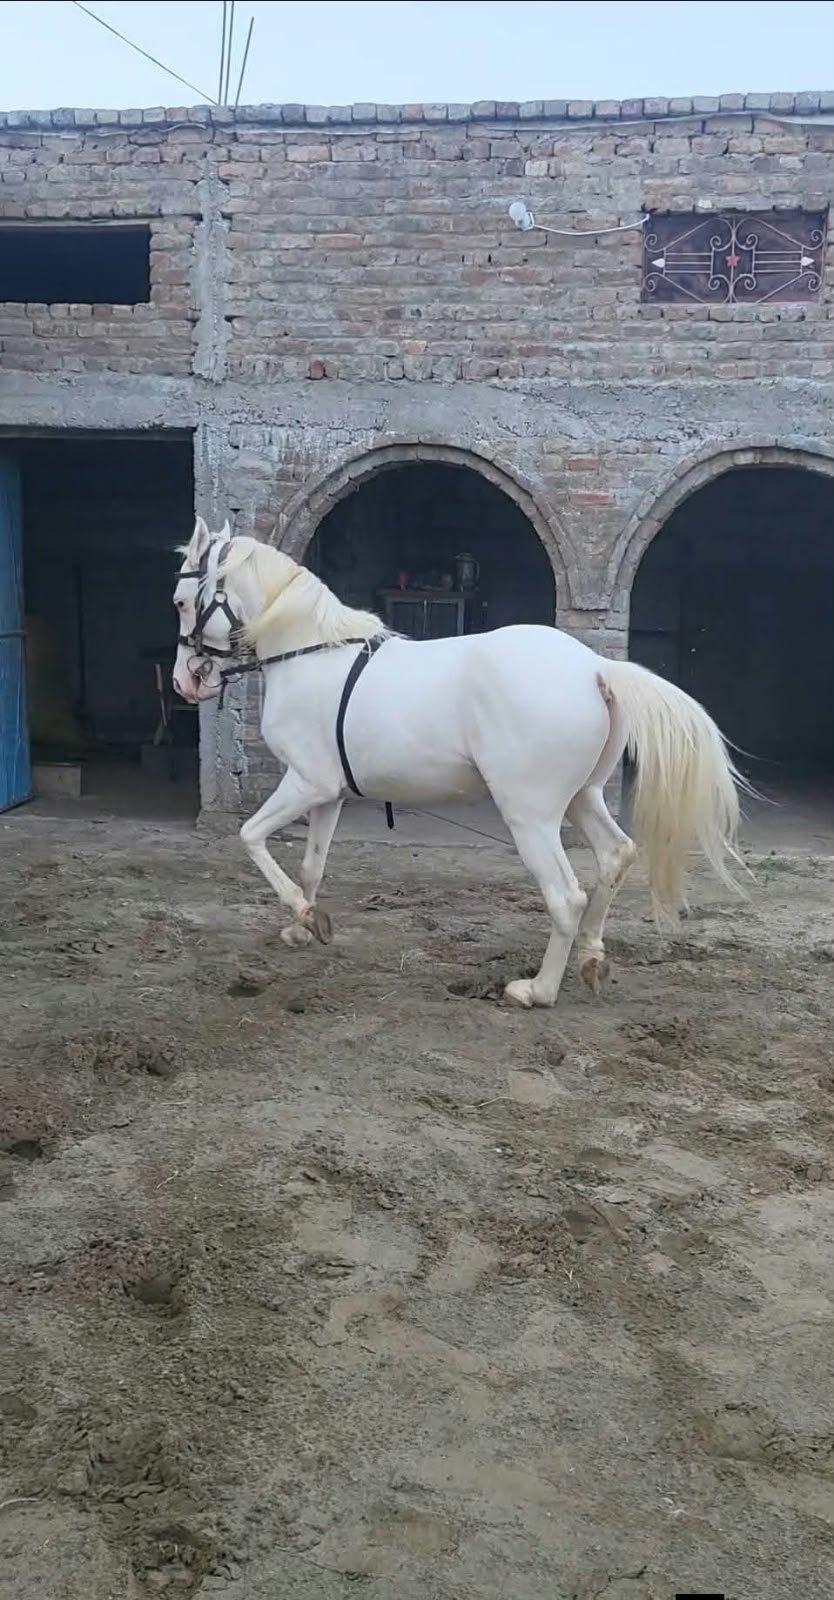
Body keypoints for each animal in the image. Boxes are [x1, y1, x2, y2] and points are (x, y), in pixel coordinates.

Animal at [173, 517, 744, 1009]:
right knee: (615, 856)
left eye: (181, 601)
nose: (186, 682)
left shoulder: (305, 783)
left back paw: (536, 991)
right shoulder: (328, 793)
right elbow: (312, 864)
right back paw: (591, 960)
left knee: (566, 896)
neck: (311, 652)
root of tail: (595, 669)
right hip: (584, 798)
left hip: (531, 815)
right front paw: (305, 925)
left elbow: (250, 835)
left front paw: (301, 913)